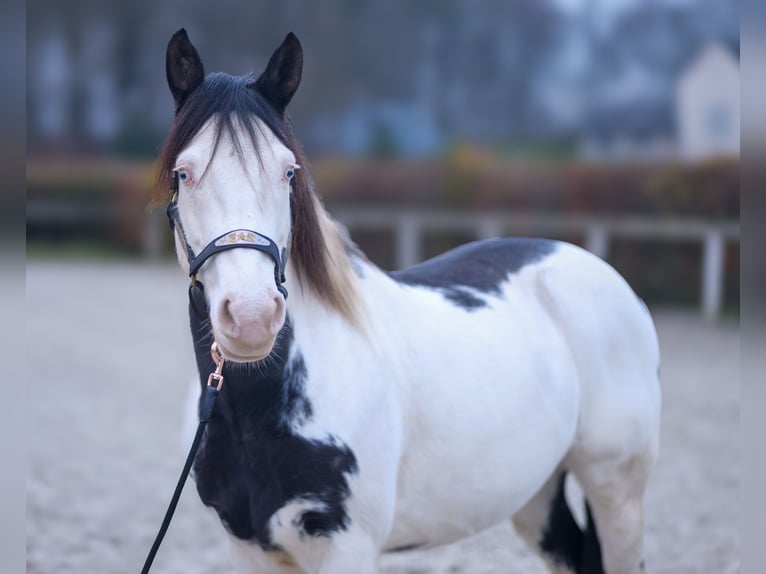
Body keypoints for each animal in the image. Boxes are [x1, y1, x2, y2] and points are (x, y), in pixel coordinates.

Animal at [159, 29, 664, 574]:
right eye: (183, 173)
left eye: (288, 172)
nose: (252, 316)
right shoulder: (249, 547)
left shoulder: (348, 547)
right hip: (538, 494)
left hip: (618, 494)